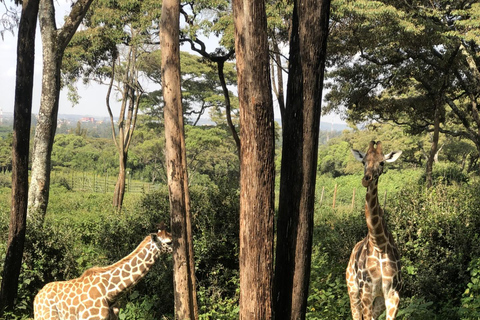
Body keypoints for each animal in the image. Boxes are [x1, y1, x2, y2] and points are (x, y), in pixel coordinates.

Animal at [32, 225, 171, 320]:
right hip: (47, 316)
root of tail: (37, 296)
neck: (110, 292)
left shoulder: (114, 317)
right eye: (169, 242)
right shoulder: (90, 318)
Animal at [346, 142, 404, 320]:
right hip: (353, 290)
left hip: (378, 300)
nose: (367, 179)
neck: (379, 244)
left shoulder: (393, 294)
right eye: (363, 162)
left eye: (382, 163)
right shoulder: (366, 292)